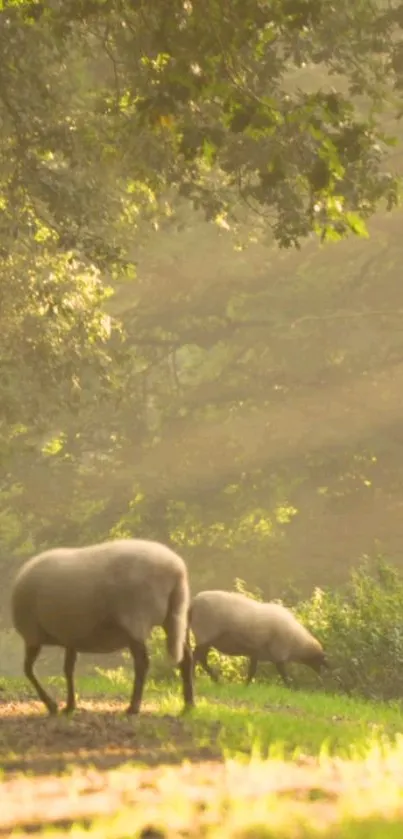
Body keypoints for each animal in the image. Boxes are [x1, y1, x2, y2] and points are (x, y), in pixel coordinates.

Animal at [11, 540, 195, 716]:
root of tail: (176, 570)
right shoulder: (72, 636)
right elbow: (68, 669)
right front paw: (69, 706)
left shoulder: (32, 635)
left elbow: (28, 670)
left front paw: (53, 706)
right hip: (176, 614)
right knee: (186, 658)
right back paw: (189, 705)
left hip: (136, 617)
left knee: (142, 663)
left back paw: (134, 707)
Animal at [190, 588, 328, 684]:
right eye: (319, 660)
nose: (321, 674)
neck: (297, 643)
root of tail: (194, 602)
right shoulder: (279, 652)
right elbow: (283, 673)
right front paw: (292, 687)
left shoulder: (256, 652)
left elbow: (252, 671)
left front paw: (246, 685)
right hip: (205, 634)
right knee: (197, 657)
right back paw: (206, 679)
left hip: (206, 638)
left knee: (199, 657)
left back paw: (212, 679)